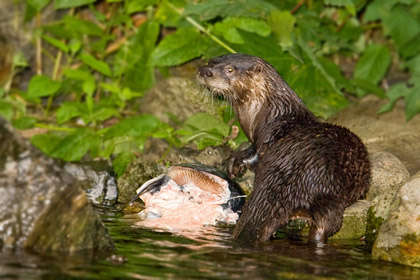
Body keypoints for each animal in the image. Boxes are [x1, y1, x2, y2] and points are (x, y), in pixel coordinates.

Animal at [197, 53, 370, 244]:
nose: (204, 71)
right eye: (209, 61)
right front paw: (234, 161)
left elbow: (256, 154)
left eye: (230, 69)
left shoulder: (269, 138)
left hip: (329, 191)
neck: (270, 114)